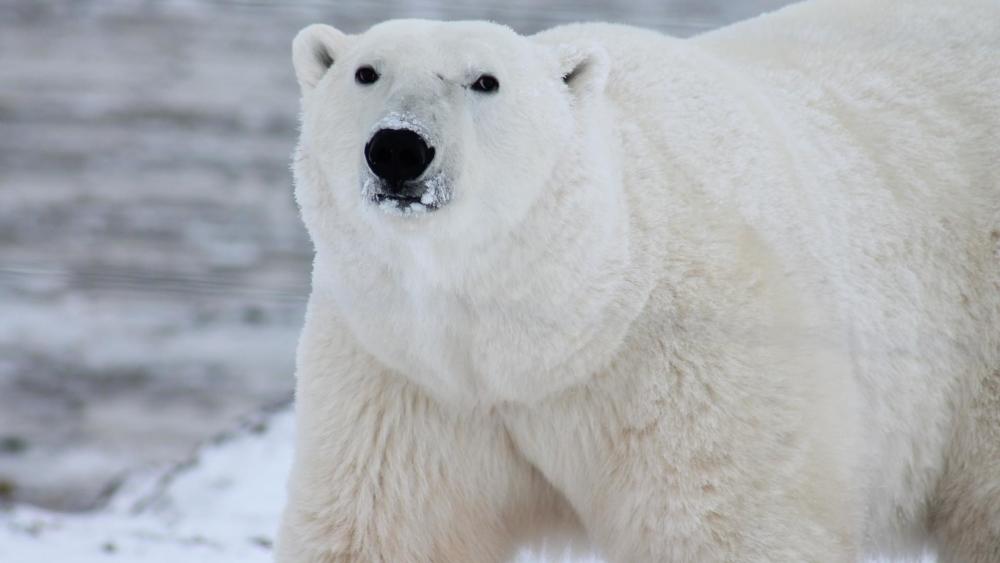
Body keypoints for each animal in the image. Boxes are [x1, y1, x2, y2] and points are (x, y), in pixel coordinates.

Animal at [276, 0, 1000, 560]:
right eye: (365, 71)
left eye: (485, 81)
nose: (399, 148)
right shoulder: (404, 377)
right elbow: (385, 528)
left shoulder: (696, 364)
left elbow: (726, 524)